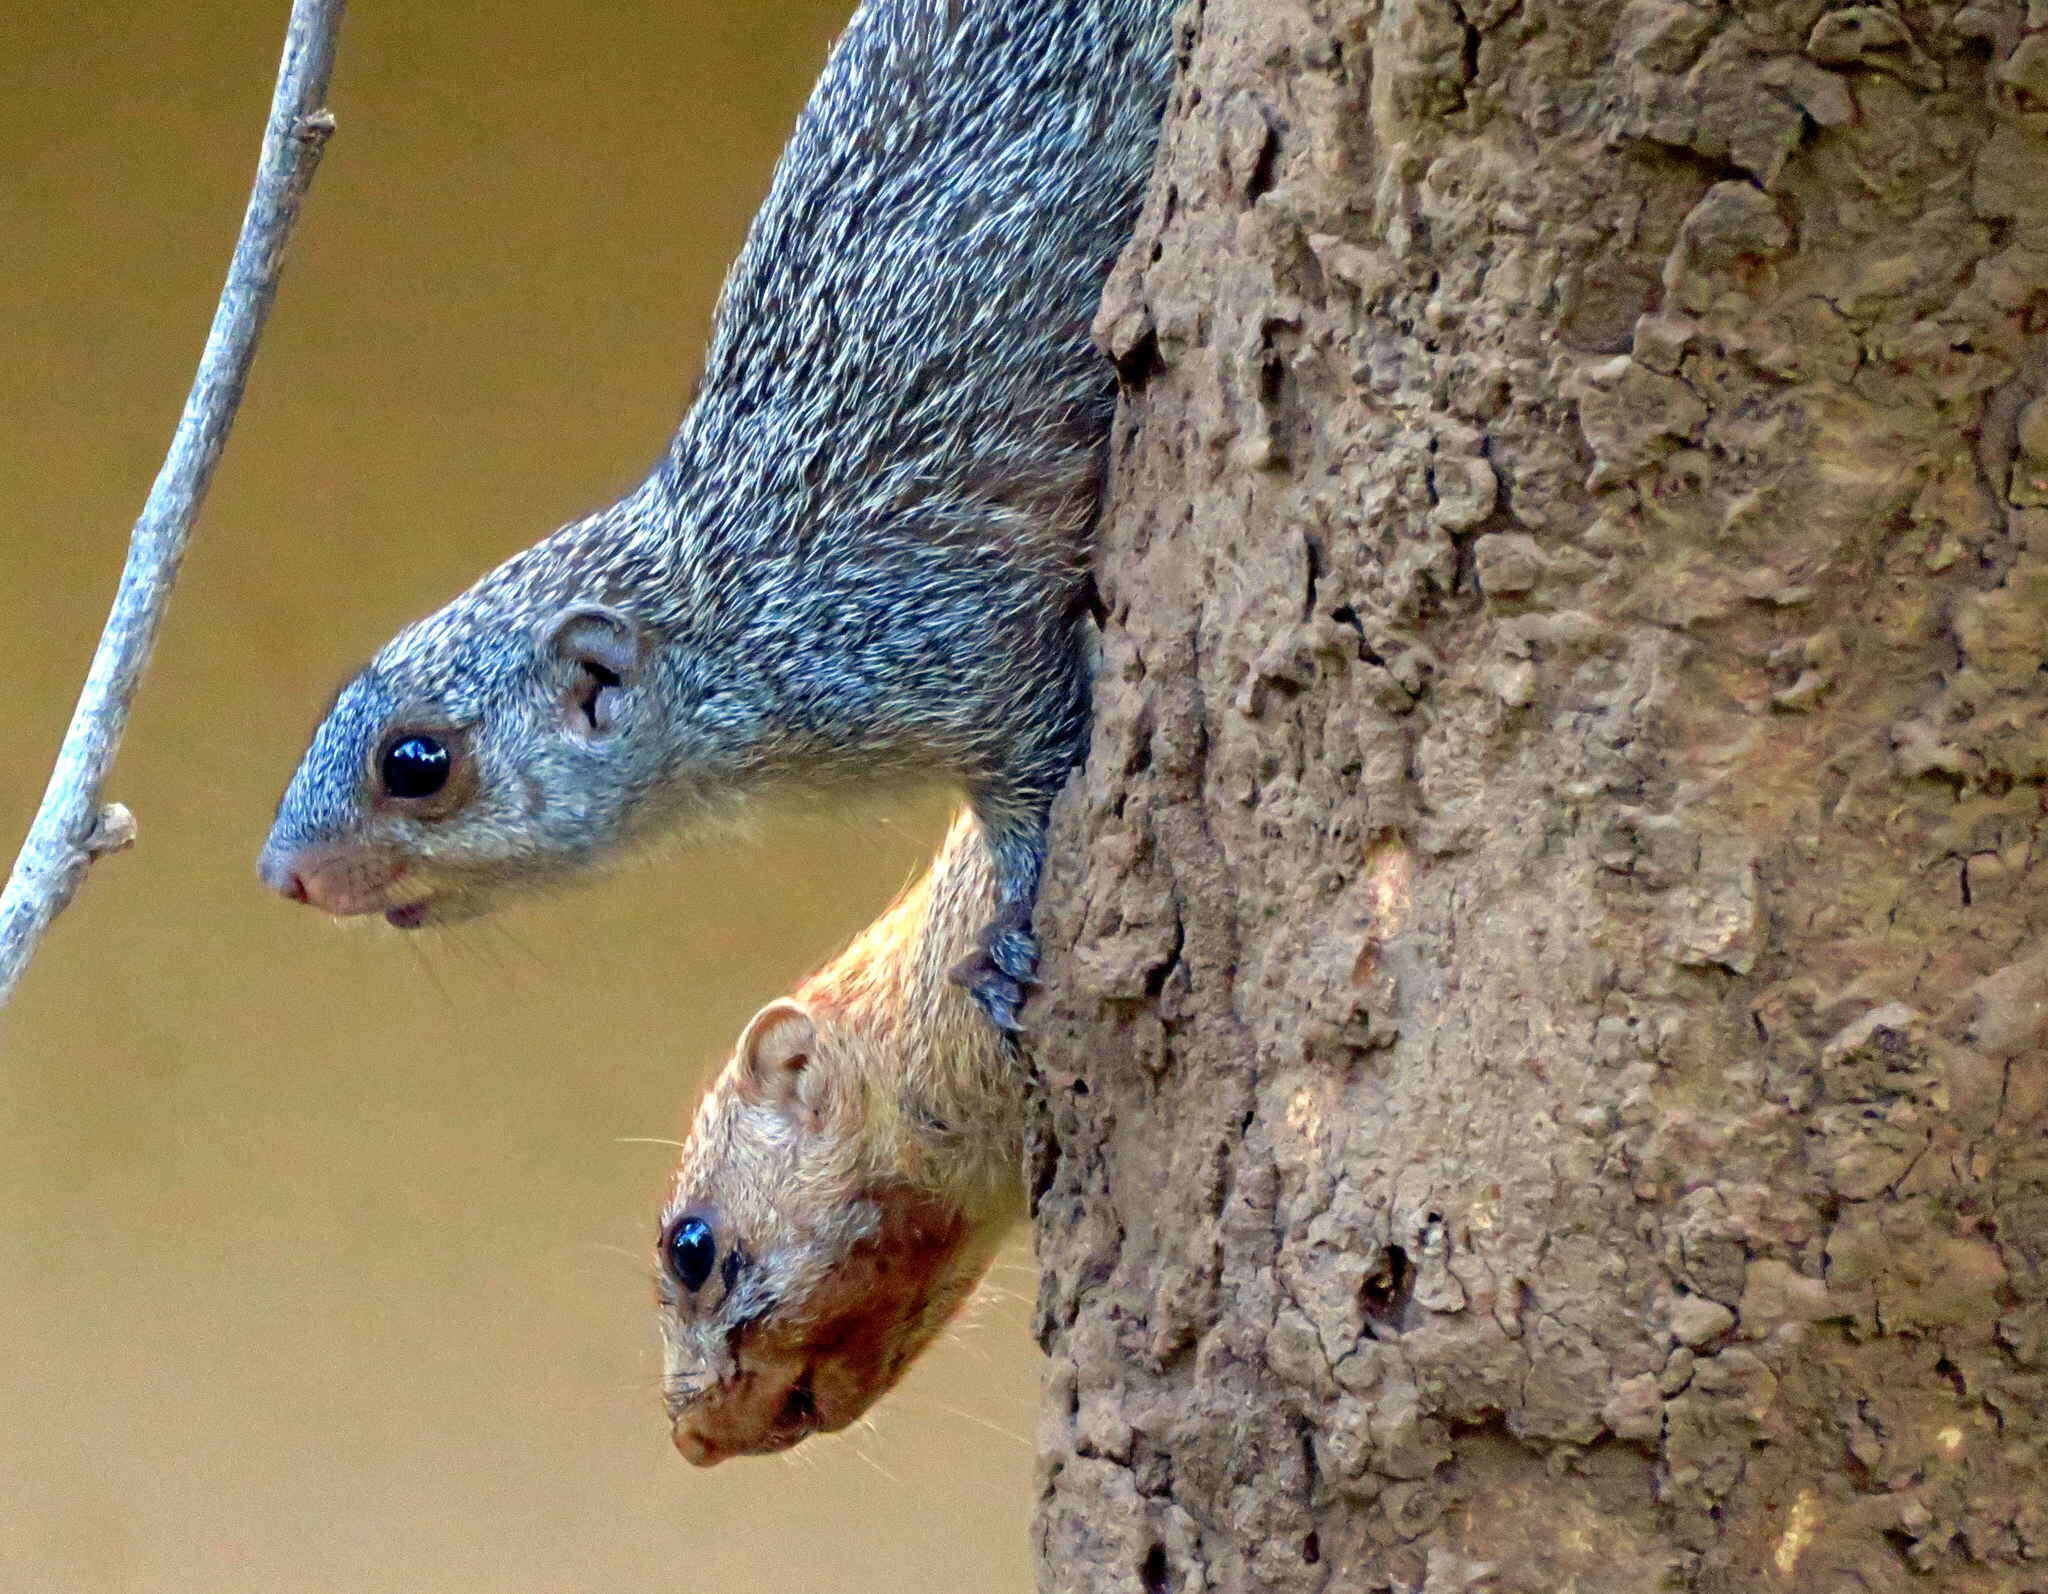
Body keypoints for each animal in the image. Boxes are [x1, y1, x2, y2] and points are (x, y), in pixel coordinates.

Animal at [264, 0, 1179, 1020]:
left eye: (415, 764)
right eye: (330, 711)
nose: (282, 875)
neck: (741, 613)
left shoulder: (951, 639)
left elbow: (1039, 777)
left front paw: (1012, 936)